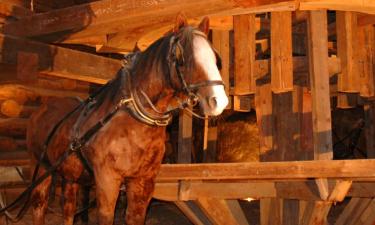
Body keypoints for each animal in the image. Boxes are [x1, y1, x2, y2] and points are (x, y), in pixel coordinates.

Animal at [26, 15, 229, 225]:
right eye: (182, 58)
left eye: (216, 58)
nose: (219, 101)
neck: (133, 123)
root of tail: (42, 108)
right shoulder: (107, 179)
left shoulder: (143, 181)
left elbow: (135, 217)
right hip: (40, 166)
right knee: (39, 204)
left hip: (70, 175)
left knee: (68, 208)